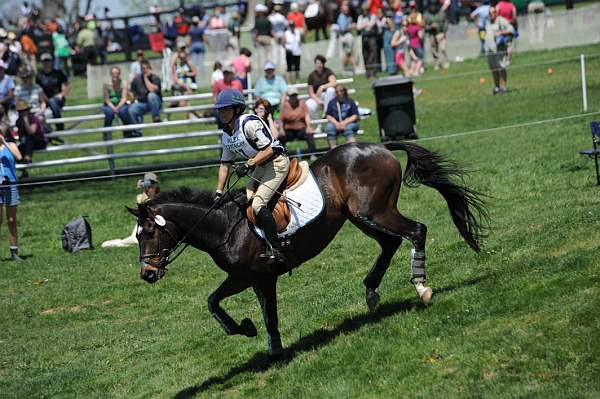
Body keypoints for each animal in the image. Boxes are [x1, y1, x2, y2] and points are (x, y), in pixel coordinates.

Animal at [127, 142, 488, 358]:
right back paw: (371, 290)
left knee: (416, 231)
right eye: (137, 236)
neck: (224, 225)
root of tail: (381, 146)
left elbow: (269, 314)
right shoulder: (244, 277)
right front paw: (244, 329)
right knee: (391, 243)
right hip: (359, 216)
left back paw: (421, 287)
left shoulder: (263, 276)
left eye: (149, 232)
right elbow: (214, 301)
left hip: (374, 211)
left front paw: (274, 350)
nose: (148, 273)